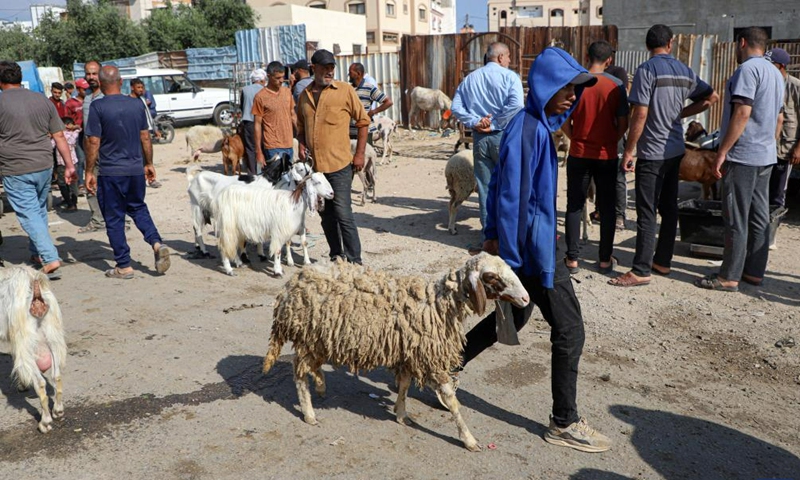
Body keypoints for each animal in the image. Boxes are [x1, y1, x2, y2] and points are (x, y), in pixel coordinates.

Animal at [0, 264, 65, 434]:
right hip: (52, 334)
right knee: (56, 376)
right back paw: (58, 411)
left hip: (25, 340)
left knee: (40, 382)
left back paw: (45, 422)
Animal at [262, 253, 532, 452]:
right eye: (491, 277)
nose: (526, 299)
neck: (438, 306)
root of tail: (291, 285)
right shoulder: (430, 359)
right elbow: (452, 401)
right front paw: (469, 439)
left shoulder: (409, 354)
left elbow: (403, 385)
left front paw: (402, 415)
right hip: (308, 335)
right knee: (299, 372)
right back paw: (309, 413)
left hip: (319, 338)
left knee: (311, 365)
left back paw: (320, 385)